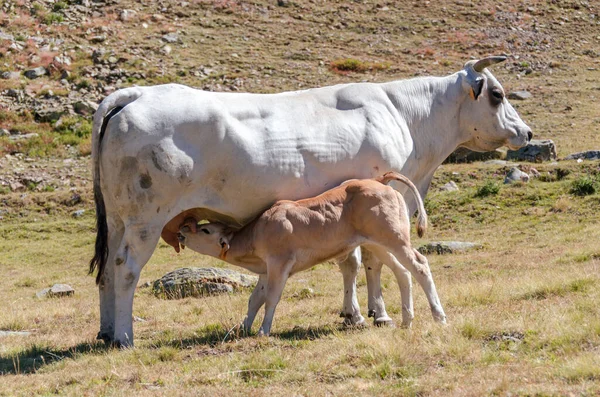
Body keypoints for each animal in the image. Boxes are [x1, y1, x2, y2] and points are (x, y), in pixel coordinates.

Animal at [89, 56, 528, 346]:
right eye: (497, 94)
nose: (526, 131)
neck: (404, 116)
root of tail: (135, 94)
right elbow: (369, 261)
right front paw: (378, 313)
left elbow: (351, 261)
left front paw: (356, 313)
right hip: (145, 219)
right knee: (125, 269)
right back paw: (125, 337)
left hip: (117, 219)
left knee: (106, 271)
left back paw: (106, 332)